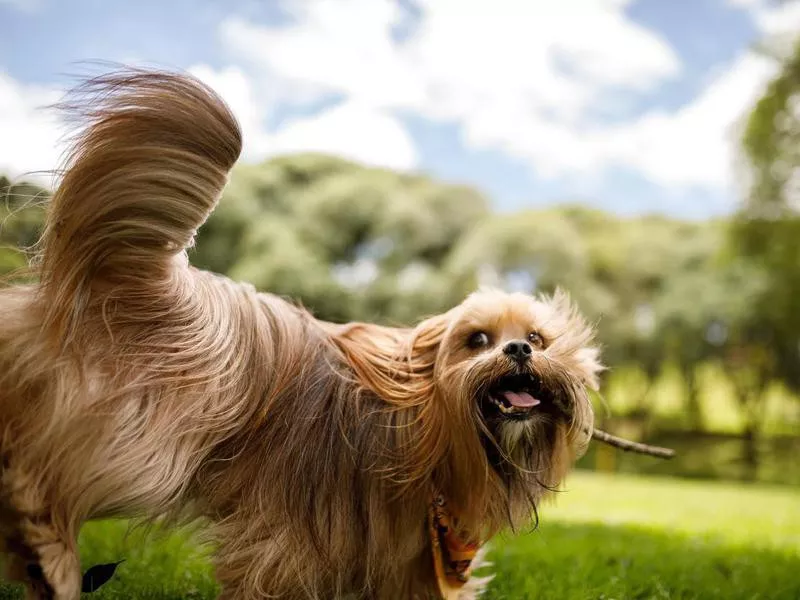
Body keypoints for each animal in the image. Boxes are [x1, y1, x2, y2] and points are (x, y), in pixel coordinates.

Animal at [0, 71, 600, 600]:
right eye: (477, 340)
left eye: (538, 339)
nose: (518, 350)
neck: (427, 426)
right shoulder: (299, 522)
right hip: (144, 425)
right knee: (54, 468)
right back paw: (44, 548)